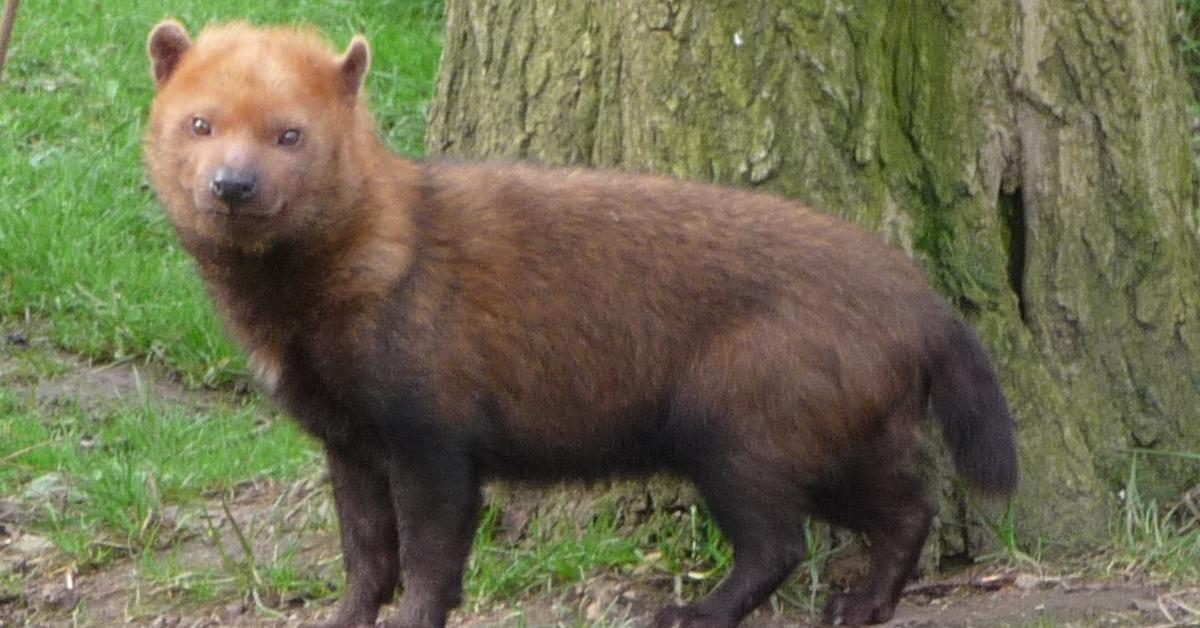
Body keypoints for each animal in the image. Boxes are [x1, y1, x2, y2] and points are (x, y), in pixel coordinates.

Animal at [145, 19, 1017, 628]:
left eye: (291, 132)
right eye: (200, 123)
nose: (233, 184)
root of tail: (920, 300)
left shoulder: (431, 431)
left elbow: (431, 558)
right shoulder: (346, 436)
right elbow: (365, 554)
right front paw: (344, 618)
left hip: (738, 425)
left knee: (781, 540)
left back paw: (692, 610)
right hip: (841, 433)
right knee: (905, 509)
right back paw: (861, 604)